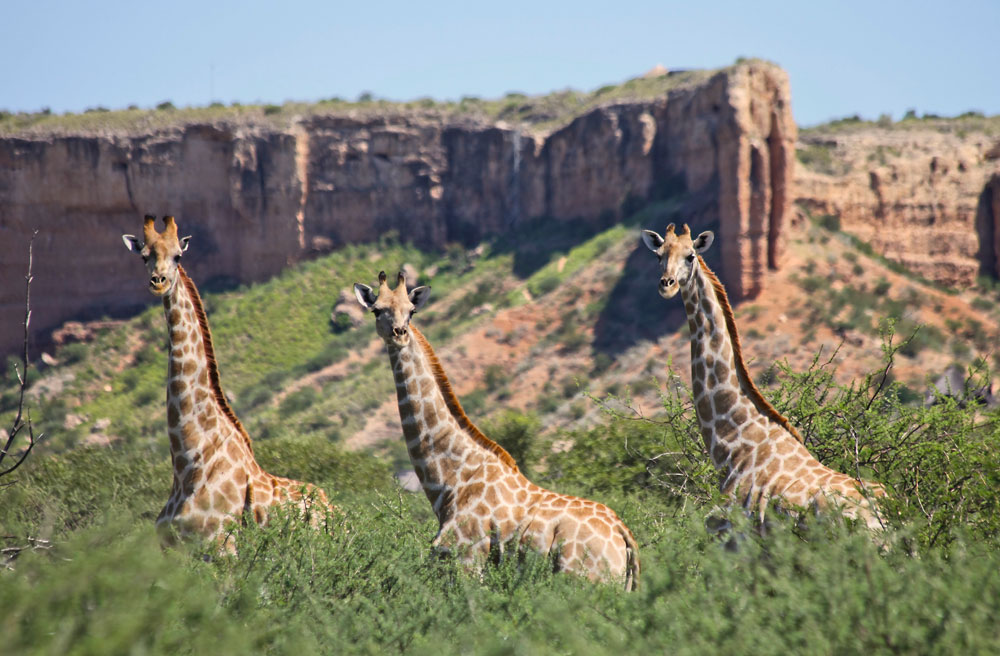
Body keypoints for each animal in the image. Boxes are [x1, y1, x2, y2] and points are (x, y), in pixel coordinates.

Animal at [122, 215, 334, 548]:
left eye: (178, 256)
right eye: (144, 256)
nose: (159, 282)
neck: (188, 464)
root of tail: (335, 511)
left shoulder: (220, 545)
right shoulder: (170, 547)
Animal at [356, 272, 640, 588]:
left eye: (412, 311)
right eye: (376, 310)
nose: (400, 333)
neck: (450, 480)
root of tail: (624, 537)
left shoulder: (467, 559)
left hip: (581, 579)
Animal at [640, 223, 884, 532]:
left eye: (690, 256)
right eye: (658, 254)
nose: (667, 285)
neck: (733, 442)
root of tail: (883, 517)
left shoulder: (727, 532)